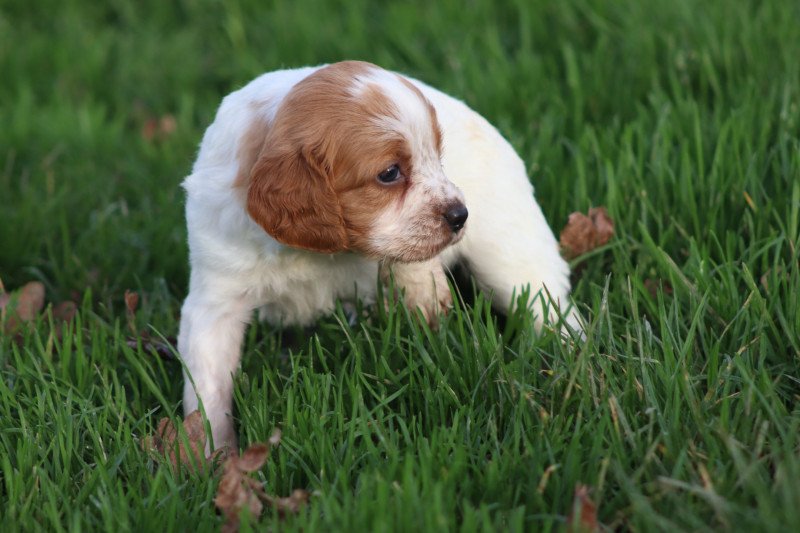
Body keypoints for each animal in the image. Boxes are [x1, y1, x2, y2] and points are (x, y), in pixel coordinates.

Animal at [177, 60, 576, 448]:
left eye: (438, 156)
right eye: (389, 173)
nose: (460, 215)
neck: (316, 252)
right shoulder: (216, 299)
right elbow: (207, 388)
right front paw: (212, 454)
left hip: (510, 258)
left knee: (550, 307)